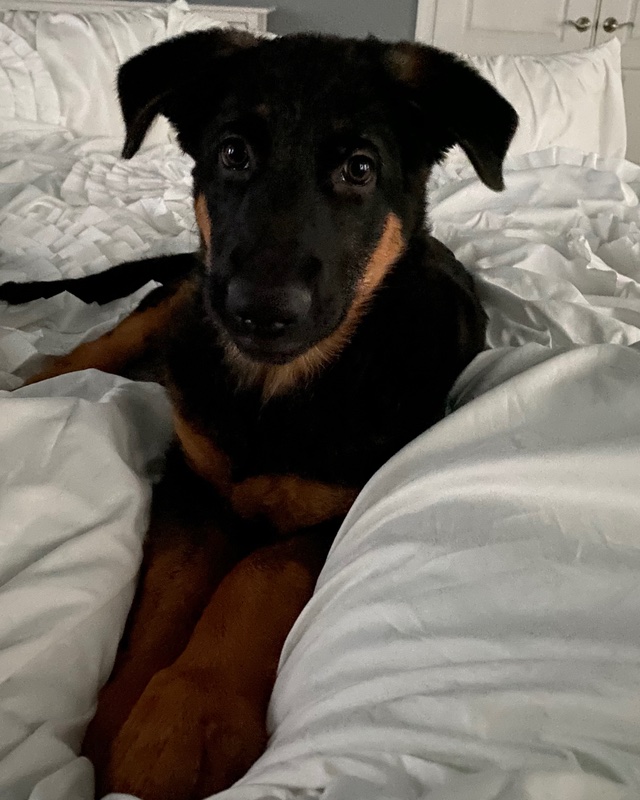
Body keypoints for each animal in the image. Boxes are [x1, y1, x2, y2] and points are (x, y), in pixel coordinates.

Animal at [0, 30, 517, 800]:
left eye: (360, 169)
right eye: (232, 153)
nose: (259, 312)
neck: (274, 392)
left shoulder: (337, 508)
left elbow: (256, 575)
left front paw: (188, 715)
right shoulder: (192, 481)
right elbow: (166, 596)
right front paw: (118, 723)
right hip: (184, 294)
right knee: (112, 338)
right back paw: (41, 376)